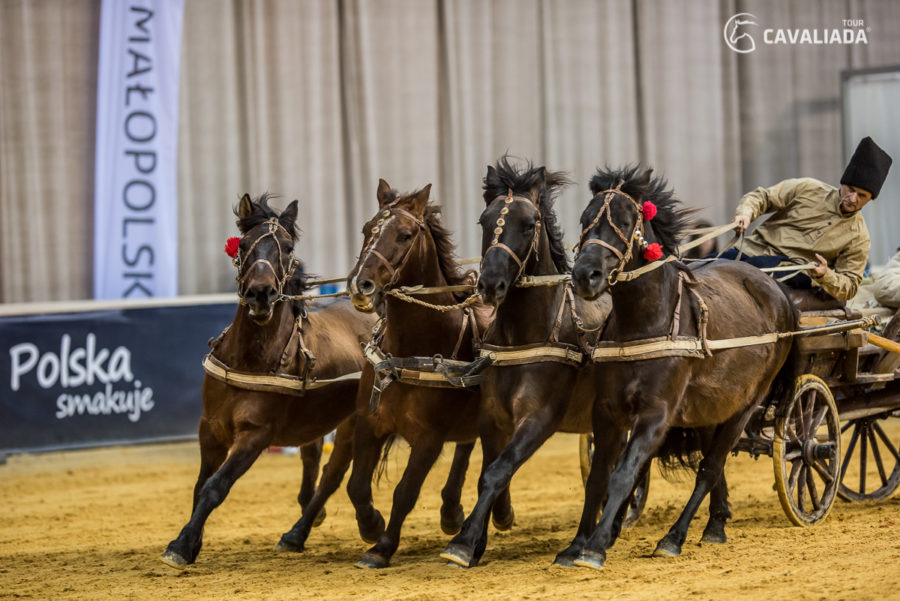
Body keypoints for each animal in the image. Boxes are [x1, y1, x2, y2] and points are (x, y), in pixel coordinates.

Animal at [162, 193, 376, 568]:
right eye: (245, 244)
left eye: (288, 248)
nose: (261, 293)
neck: (249, 359)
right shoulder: (211, 428)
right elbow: (200, 485)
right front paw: (191, 539)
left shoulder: (256, 434)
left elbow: (216, 486)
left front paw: (183, 545)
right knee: (314, 460)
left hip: (353, 421)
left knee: (332, 475)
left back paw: (301, 532)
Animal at [344, 178, 512, 568]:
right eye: (366, 229)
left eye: (405, 235)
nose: (361, 285)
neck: (410, 350)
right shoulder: (369, 422)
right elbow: (356, 485)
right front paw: (371, 526)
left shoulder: (429, 438)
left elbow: (405, 491)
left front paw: (382, 547)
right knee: (470, 450)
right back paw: (453, 512)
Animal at [438, 156, 612, 568]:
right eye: (483, 220)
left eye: (529, 224)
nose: (490, 284)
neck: (524, 337)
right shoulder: (492, 417)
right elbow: (488, 472)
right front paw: (482, 533)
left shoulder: (539, 419)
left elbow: (500, 469)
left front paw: (463, 542)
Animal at [568, 165, 796, 568]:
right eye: (585, 219)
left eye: (624, 222)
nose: (585, 275)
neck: (644, 323)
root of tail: (776, 288)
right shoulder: (607, 410)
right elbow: (599, 477)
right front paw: (579, 543)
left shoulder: (657, 412)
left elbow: (624, 473)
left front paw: (594, 547)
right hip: (709, 407)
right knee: (711, 463)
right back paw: (715, 523)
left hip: (746, 404)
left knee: (710, 467)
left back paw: (674, 537)